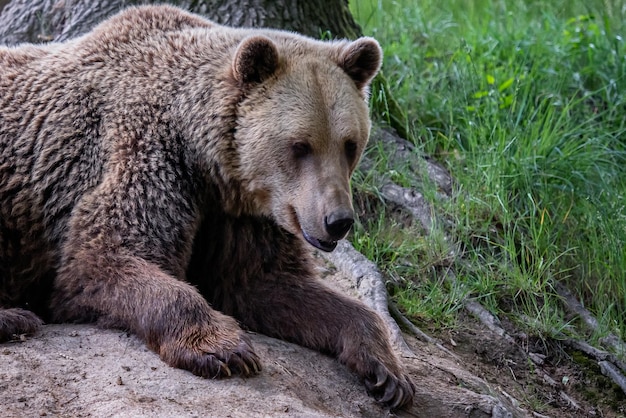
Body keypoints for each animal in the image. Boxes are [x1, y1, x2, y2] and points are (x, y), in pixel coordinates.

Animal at [1, 4, 414, 408]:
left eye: (349, 144)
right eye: (300, 145)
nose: (338, 221)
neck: (205, 161)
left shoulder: (241, 216)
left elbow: (267, 283)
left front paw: (388, 373)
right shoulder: (147, 157)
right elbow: (100, 262)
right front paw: (224, 348)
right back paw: (17, 318)